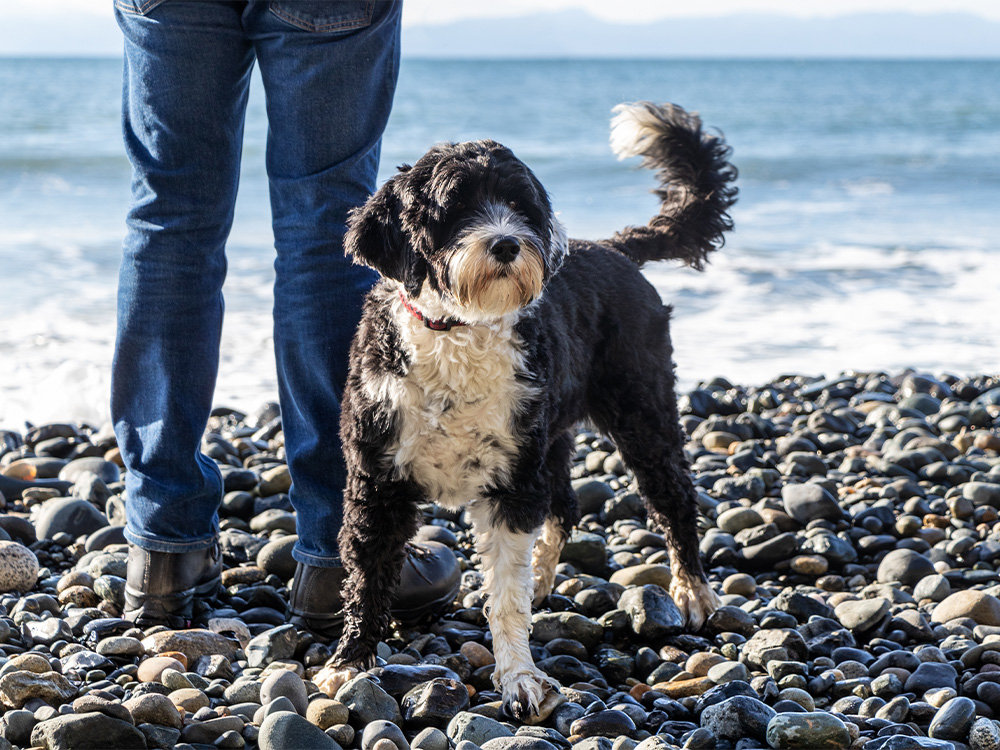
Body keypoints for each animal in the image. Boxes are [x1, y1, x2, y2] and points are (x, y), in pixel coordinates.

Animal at [316, 103, 740, 720]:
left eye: (520, 206)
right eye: (455, 207)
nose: (506, 244)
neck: (457, 330)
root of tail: (611, 247)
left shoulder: (512, 484)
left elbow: (506, 597)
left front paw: (519, 677)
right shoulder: (378, 478)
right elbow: (369, 574)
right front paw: (349, 662)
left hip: (642, 413)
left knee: (673, 499)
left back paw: (692, 590)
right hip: (552, 431)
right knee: (564, 503)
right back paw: (542, 576)